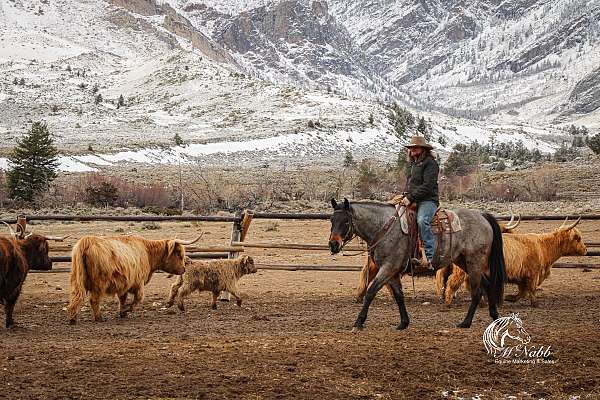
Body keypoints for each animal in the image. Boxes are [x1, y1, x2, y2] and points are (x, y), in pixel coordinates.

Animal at [67, 233, 200, 324]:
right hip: (99, 284)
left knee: (76, 297)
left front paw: (122, 312)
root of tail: (87, 241)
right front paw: (126, 310)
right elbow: (138, 298)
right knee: (94, 300)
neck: (147, 252)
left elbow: (123, 299)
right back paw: (99, 318)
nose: (183, 269)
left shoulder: (124, 284)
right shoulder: (137, 283)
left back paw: (73, 318)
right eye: (178, 253)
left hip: (76, 280)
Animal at [328, 198, 506, 330]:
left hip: (474, 261)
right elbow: (399, 296)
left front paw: (359, 322)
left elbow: (371, 292)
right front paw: (403, 323)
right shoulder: (392, 272)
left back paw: (466, 322)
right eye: (331, 220)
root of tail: (483, 216)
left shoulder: (388, 267)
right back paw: (495, 317)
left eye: (345, 221)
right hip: (463, 261)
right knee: (487, 284)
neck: (384, 227)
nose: (333, 244)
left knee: (477, 291)